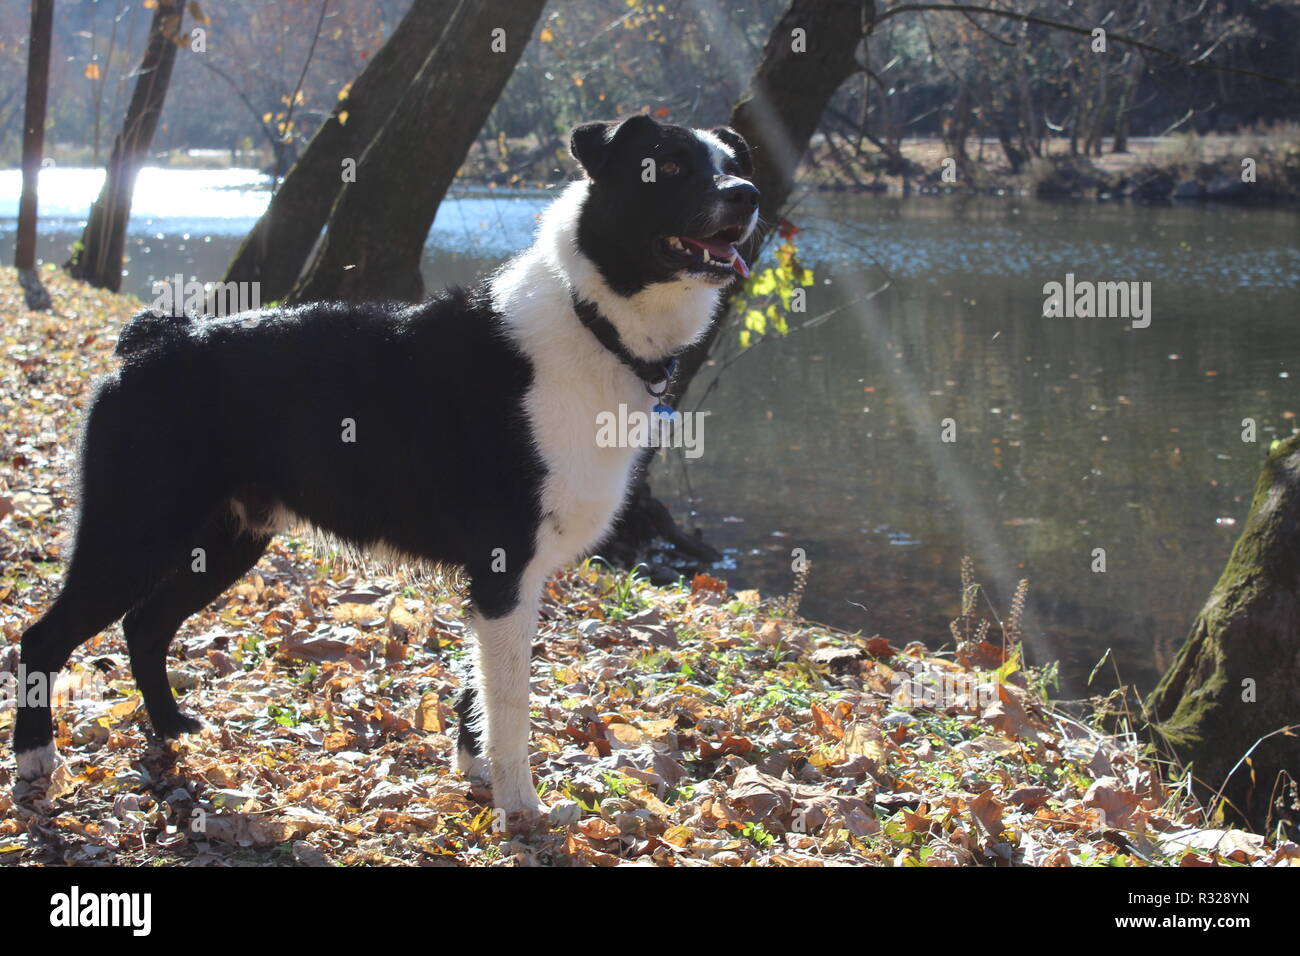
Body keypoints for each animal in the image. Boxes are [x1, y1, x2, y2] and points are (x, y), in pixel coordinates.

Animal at [10, 113, 759, 832]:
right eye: (666, 167)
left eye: (731, 164)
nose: (749, 195)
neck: (592, 318)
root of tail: (156, 338)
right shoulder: (504, 569)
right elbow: (511, 704)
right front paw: (520, 807)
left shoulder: (504, 582)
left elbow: (480, 687)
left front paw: (477, 773)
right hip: (132, 534)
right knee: (44, 636)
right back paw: (36, 761)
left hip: (224, 542)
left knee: (145, 626)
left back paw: (169, 728)